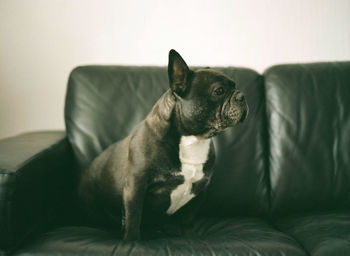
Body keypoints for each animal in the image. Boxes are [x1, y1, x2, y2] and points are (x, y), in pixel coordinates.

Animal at [78, 49, 249, 240]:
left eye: (235, 86)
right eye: (219, 91)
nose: (242, 95)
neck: (193, 139)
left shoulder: (198, 192)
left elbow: (188, 220)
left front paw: (189, 237)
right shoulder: (135, 189)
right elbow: (133, 220)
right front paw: (132, 241)